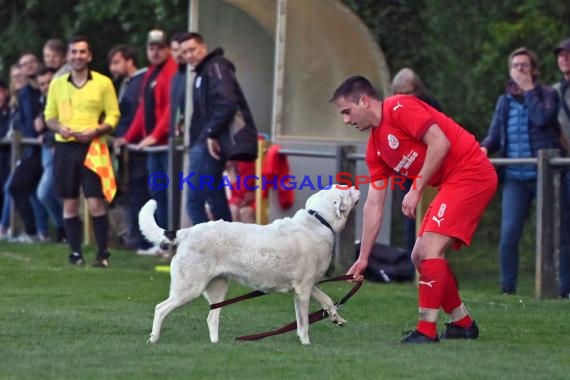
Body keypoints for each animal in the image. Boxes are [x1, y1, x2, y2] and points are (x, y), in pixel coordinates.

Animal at [139, 186, 358, 346]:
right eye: (345, 189)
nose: (356, 186)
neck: (319, 221)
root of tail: (187, 231)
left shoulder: (308, 287)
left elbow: (327, 301)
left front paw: (336, 318)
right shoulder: (303, 290)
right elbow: (304, 323)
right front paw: (306, 344)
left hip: (218, 290)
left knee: (211, 318)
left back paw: (216, 345)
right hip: (188, 289)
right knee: (160, 308)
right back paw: (153, 338)